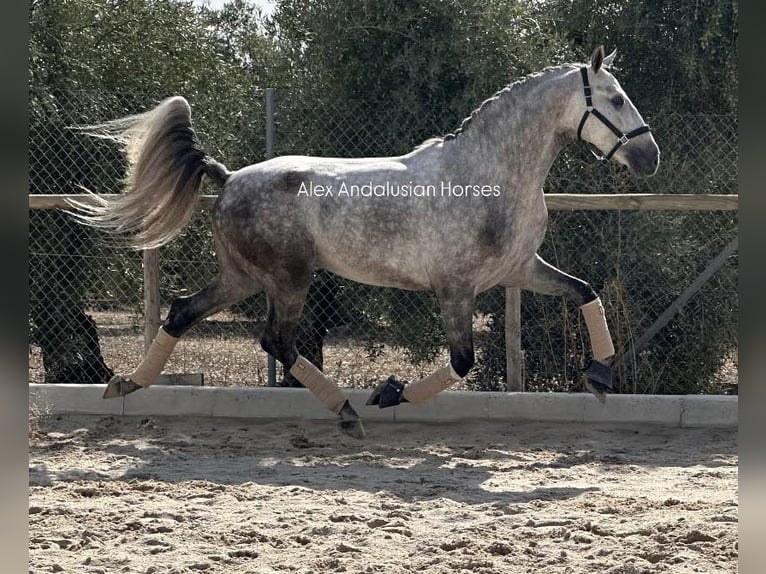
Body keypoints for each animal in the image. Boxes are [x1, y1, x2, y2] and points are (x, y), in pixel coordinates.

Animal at [72, 46, 660, 440]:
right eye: (616, 99)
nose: (649, 156)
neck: (491, 174)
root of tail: (229, 177)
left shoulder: (519, 269)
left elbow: (585, 292)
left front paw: (601, 375)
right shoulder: (456, 288)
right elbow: (463, 362)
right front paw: (388, 392)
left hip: (242, 277)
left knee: (182, 312)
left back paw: (126, 384)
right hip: (288, 279)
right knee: (276, 342)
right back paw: (348, 413)